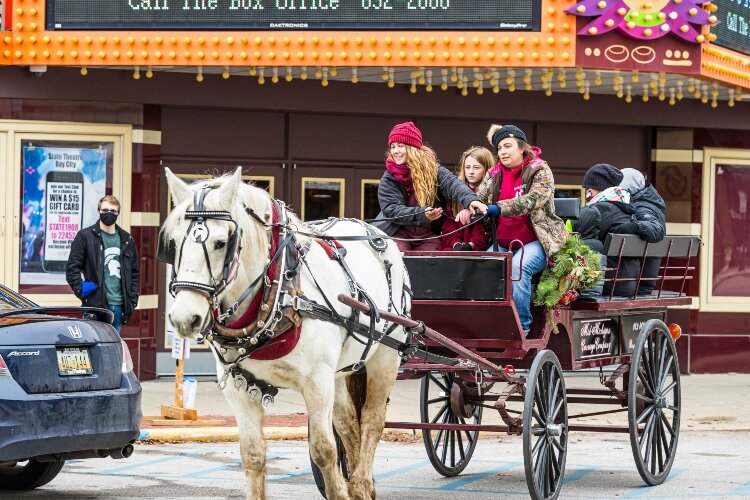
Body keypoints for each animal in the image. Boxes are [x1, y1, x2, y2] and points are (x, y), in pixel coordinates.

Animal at [164, 169, 408, 500]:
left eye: (220, 243)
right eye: (174, 242)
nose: (184, 318)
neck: (280, 289)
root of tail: (375, 232)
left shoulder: (317, 383)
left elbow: (324, 450)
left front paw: (340, 489)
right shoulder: (239, 390)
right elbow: (252, 455)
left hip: (385, 356)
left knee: (372, 419)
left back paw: (358, 485)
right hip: (339, 371)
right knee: (347, 423)